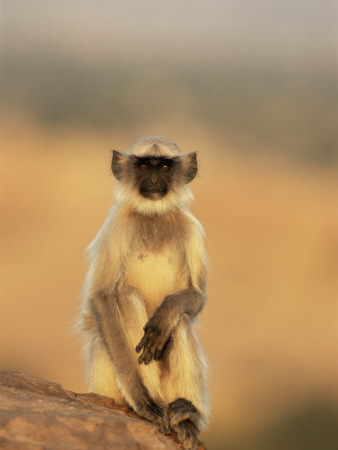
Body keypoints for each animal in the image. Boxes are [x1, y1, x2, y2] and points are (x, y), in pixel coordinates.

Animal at [79, 137, 209, 450]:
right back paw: (153, 404)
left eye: (163, 166)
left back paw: (187, 415)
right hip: (104, 375)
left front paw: (166, 313)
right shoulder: (117, 226)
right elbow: (102, 298)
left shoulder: (191, 229)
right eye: (142, 166)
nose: (152, 179)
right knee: (125, 296)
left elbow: (195, 298)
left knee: (179, 321)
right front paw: (141, 400)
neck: (154, 217)